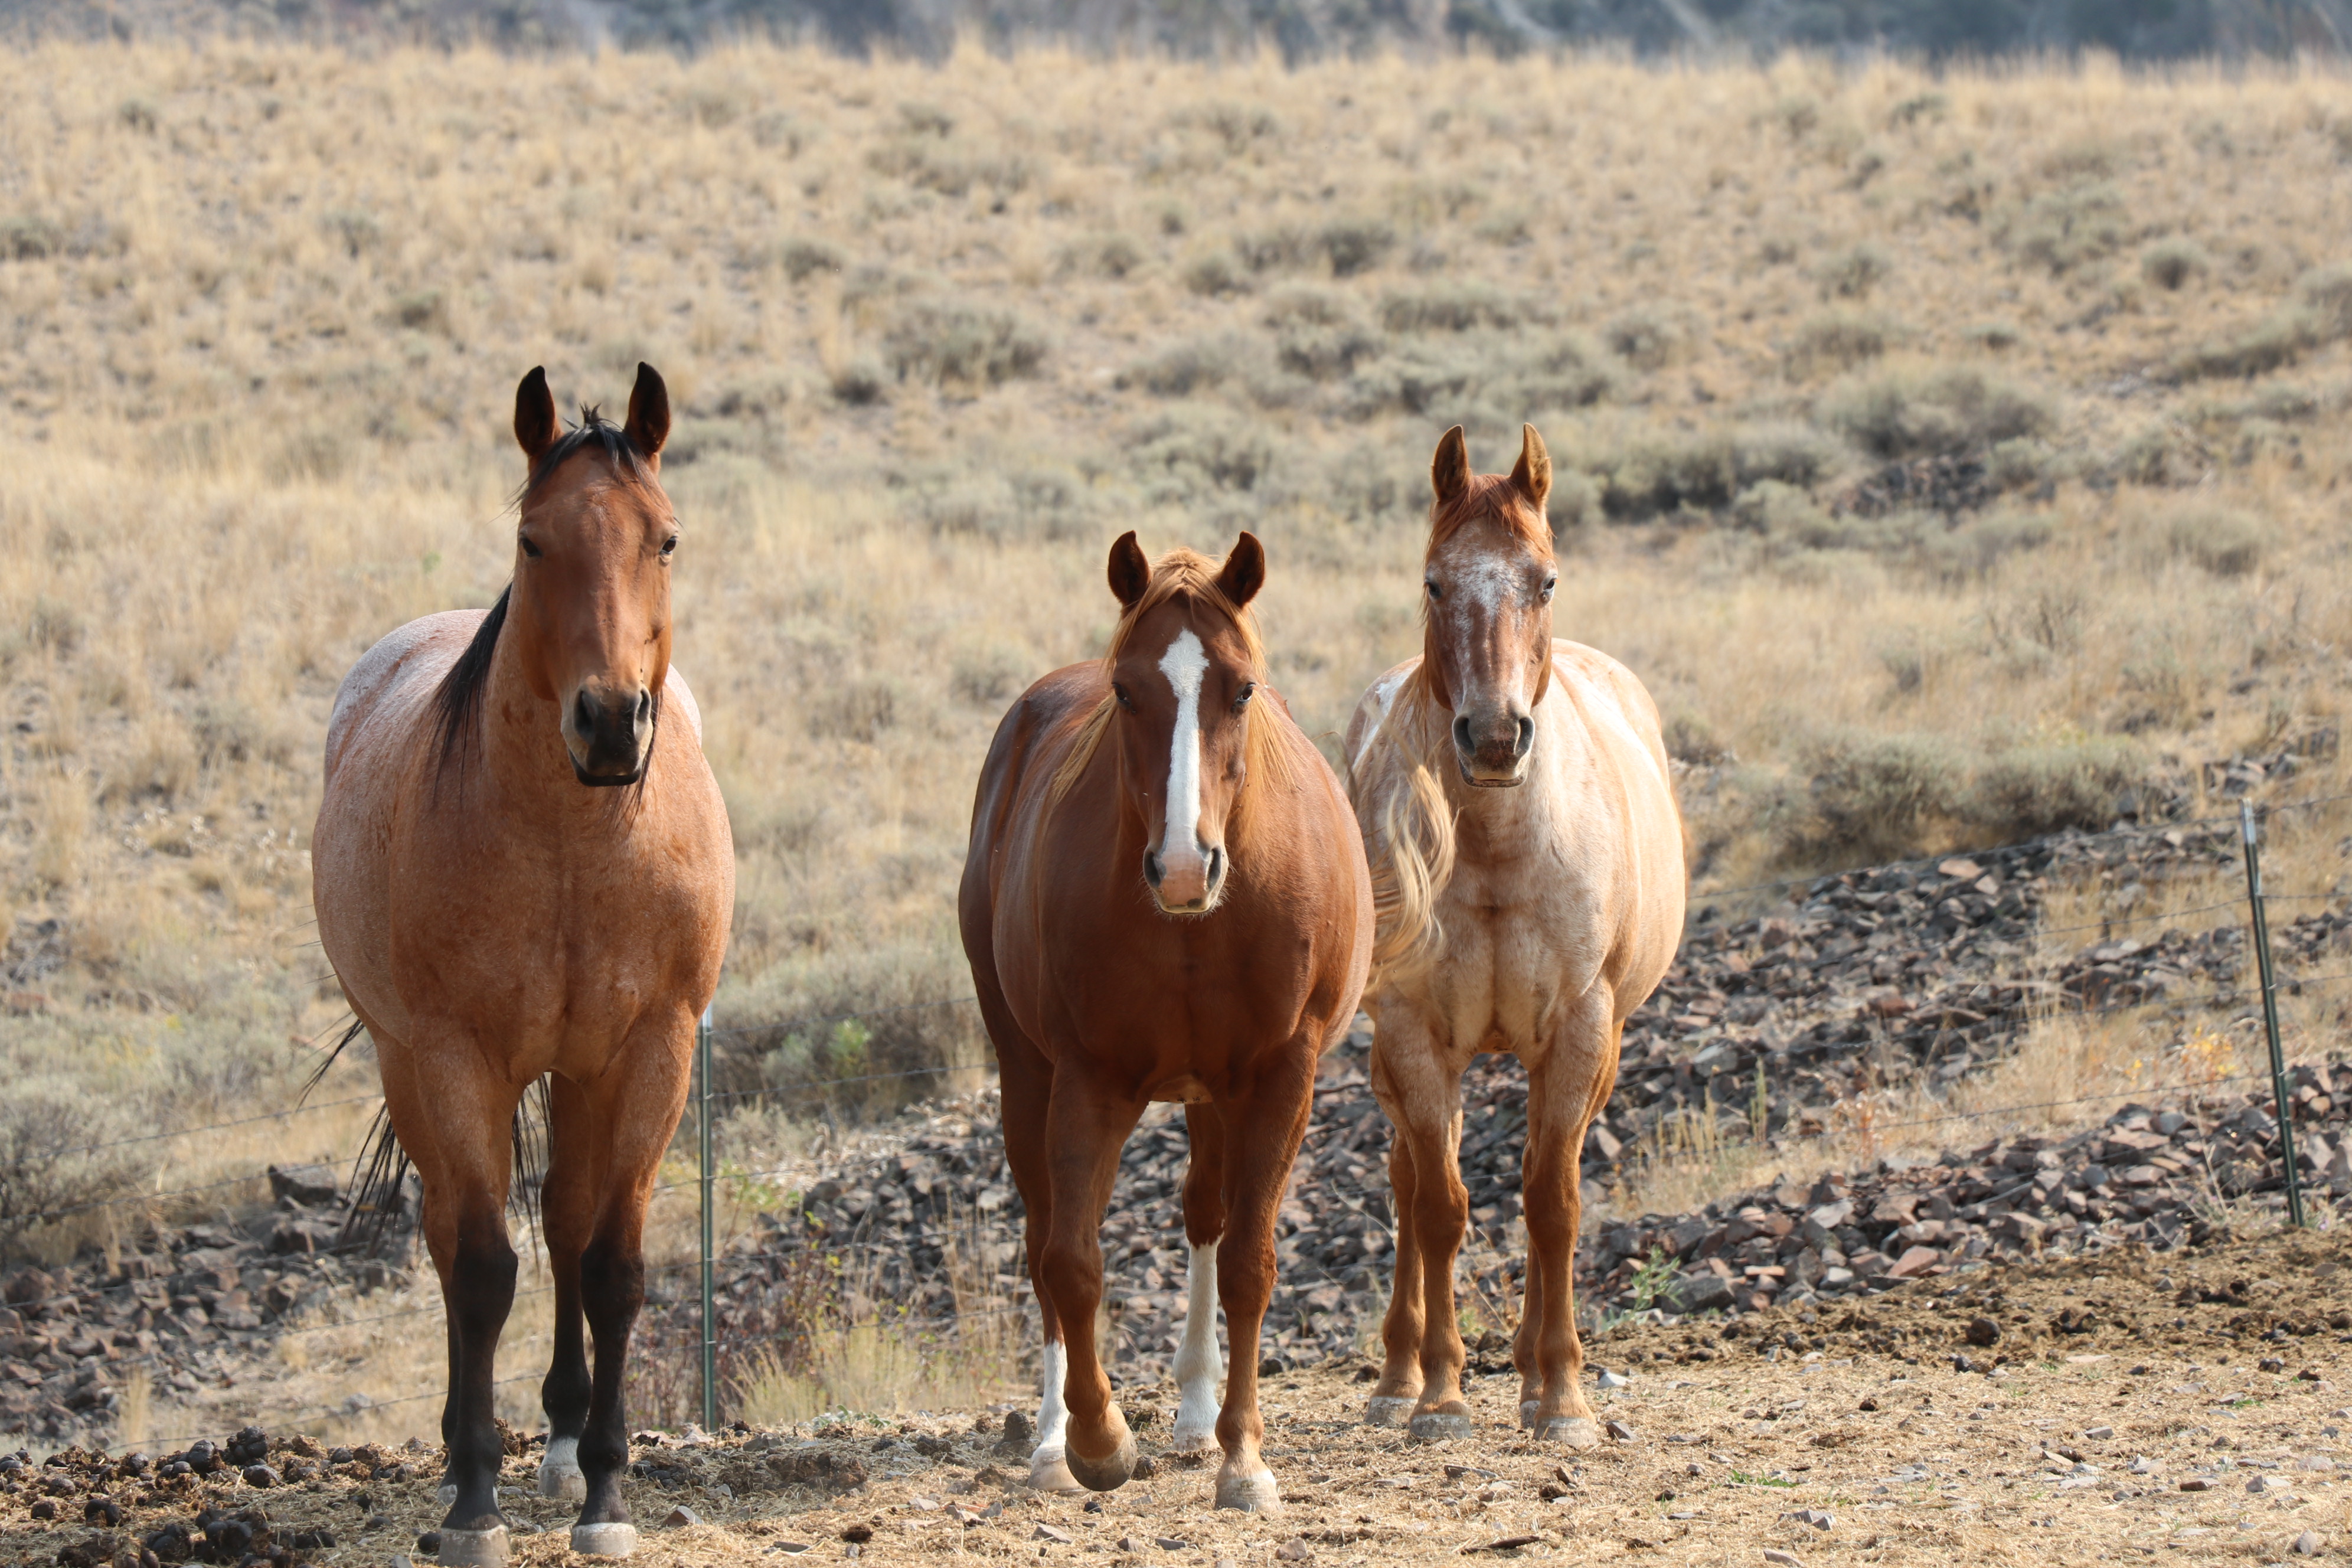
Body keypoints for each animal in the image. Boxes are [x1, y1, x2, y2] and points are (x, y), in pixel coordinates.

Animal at [312, 364, 729, 1561]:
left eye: (664, 539)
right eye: (533, 541)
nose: (610, 723)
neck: (571, 847)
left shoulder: (650, 1052)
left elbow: (611, 1265)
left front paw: (605, 1493)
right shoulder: (458, 1059)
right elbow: (484, 1268)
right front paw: (472, 1501)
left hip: (575, 1073)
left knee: (568, 1221)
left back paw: (560, 1440)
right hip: (413, 1065)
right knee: (456, 1238)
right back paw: (474, 1454)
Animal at [964, 533, 1373, 1514]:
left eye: (1244, 688)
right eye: (1124, 692)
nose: (1186, 866)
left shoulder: (1277, 1077)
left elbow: (1249, 1259)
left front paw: (1244, 1458)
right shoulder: (1087, 1080)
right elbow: (1070, 1261)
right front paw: (1098, 1440)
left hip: (1211, 1093)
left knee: (1204, 1217)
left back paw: (1196, 1412)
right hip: (1025, 1074)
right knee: (1043, 1237)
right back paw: (1051, 1441)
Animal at [1345, 425, 1693, 1448]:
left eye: (1545, 579)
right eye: (1434, 582)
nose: (1496, 738)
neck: (1501, 851)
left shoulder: (1580, 1031)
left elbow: (1552, 1201)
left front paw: (1563, 1395)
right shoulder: (1416, 1036)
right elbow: (1440, 1207)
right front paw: (1442, 1398)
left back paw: (1537, 1378)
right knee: (1407, 1182)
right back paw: (1398, 1381)